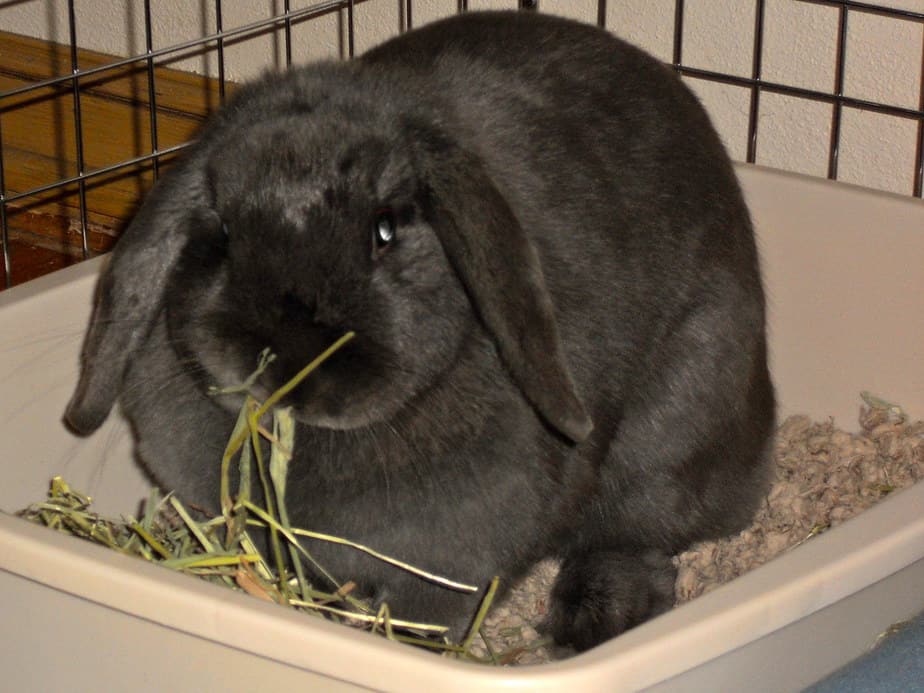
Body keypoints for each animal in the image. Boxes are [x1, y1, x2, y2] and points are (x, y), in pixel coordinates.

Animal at [63, 8, 772, 652]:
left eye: (385, 228)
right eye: (225, 232)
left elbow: (429, 613)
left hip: (670, 434)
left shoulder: (450, 565)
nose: (288, 362)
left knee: (635, 535)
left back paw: (592, 621)